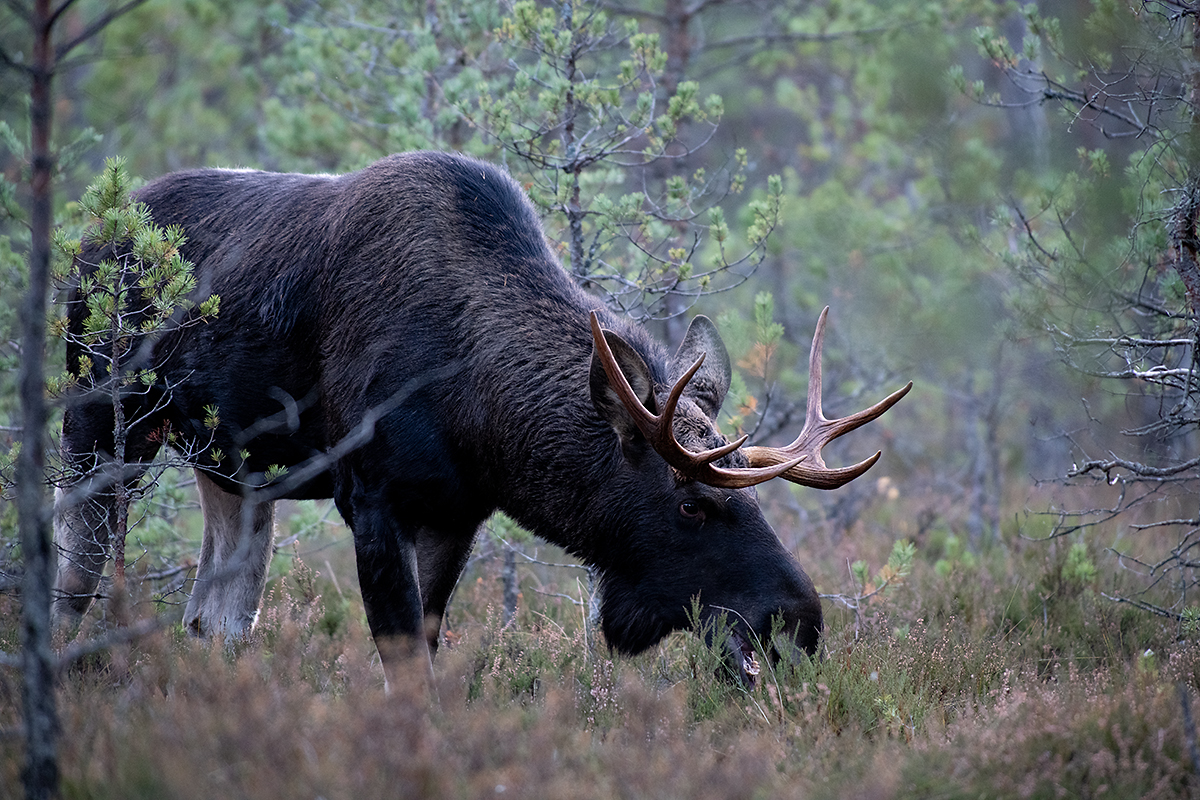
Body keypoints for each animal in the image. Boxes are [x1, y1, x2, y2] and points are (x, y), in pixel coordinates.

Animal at [52, 150, 909, 685]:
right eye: (692, 504)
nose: (797, 621)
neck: (478, 406)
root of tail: (88, 237)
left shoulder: (456, 512)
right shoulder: (372, 498)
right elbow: (404, 664)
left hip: (235, 474)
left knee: (215, 620)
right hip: (101, 429)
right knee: (74, 587)